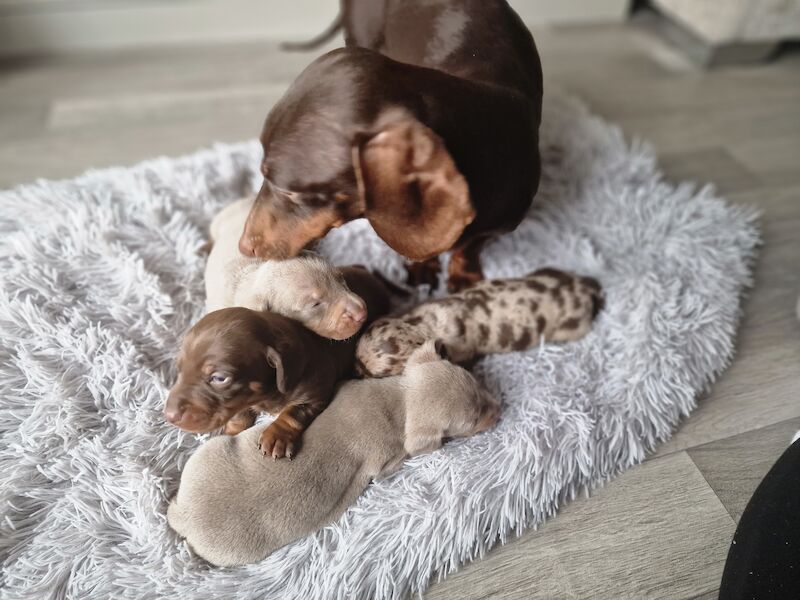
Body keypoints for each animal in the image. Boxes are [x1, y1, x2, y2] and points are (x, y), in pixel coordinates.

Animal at [166, 264, 390, 458]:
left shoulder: (315, 391)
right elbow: (239, 412)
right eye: (179, 369)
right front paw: (233, 428)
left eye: (220, 378)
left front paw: (276, 435)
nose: (169, 415)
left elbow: (293, 412)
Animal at [166, 342, 496, 568]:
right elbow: (391, 466)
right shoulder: (387, 458)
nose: (500, 407)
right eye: (474, 420)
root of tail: (185, 519)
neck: (400, 400)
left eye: (475, 382)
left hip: (208, 454)